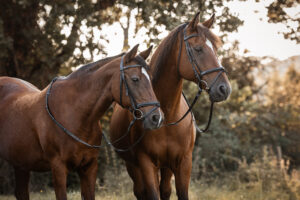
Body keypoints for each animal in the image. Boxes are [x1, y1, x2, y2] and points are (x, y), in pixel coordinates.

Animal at [0, 45, 164, 200]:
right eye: (135, 79)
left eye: (150, 78)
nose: (157, 118)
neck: (74, 114)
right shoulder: (58, 168)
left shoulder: (89, 167)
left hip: (21, 164)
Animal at [110, 13, 232, 199]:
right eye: (198, 49)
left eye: (216, 50)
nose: (224, 89)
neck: (167, 118)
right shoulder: (146, 164)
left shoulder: (183, 163)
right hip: (133, 166)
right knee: (140, 191)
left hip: (167, 166)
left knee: (165, 189)